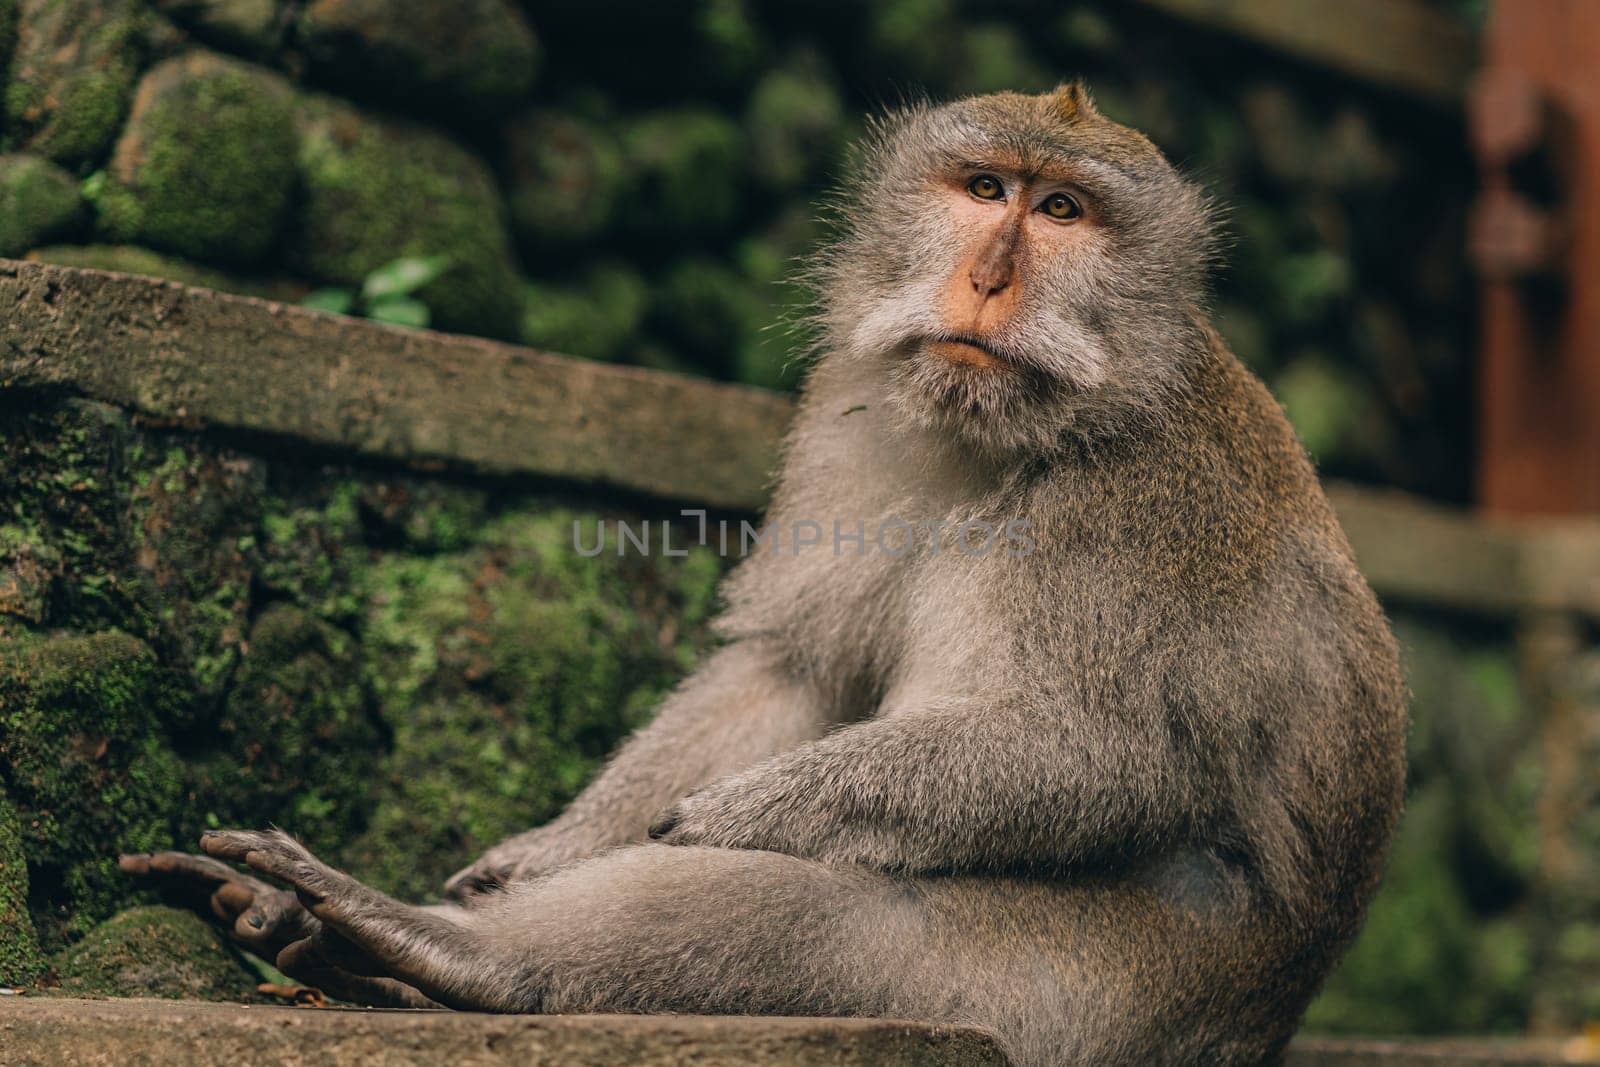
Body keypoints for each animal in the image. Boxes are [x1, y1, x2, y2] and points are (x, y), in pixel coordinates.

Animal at [118, 85, 1408, 1067]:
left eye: (1063, 211)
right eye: (983, 191)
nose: (991, 275)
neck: (1013, 435)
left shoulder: (1138, 514)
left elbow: (1106, 754)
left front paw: (729, 814)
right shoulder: (849, 420)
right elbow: (793, 668)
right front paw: (550, 847)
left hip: (1095, 995)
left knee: (832, 915)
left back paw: (456, 957)